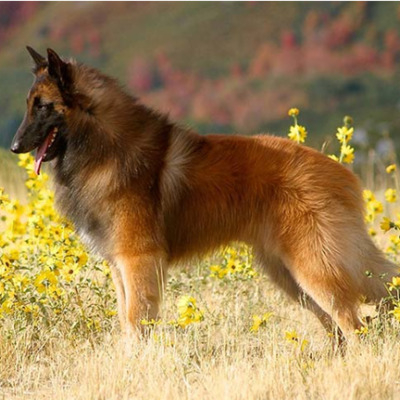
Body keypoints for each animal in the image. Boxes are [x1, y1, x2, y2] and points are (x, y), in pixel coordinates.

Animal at [10, 47, 398, 340]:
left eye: (42, 105)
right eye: (30, 104)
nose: (14, 147)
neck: (103, 143)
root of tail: (342, 172)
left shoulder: (138, 260)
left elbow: (136, 320)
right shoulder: (119, 265)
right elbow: (125, 319)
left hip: (315, 270)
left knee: (353, 324)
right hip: (291, 275)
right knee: (341, 325)